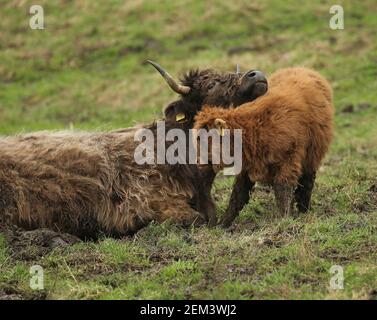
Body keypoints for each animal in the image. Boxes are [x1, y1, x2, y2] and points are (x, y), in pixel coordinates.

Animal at [194, 66, 332, 224]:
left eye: (201, 138)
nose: (196, 162)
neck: (254, 127)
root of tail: (301, 68)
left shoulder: (288, 162)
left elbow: (283, 191)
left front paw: (285, 220)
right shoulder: (246, 167)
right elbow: (238, 195)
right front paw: (224, 223)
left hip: (312, 154)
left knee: (307, 182)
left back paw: (304, 210)